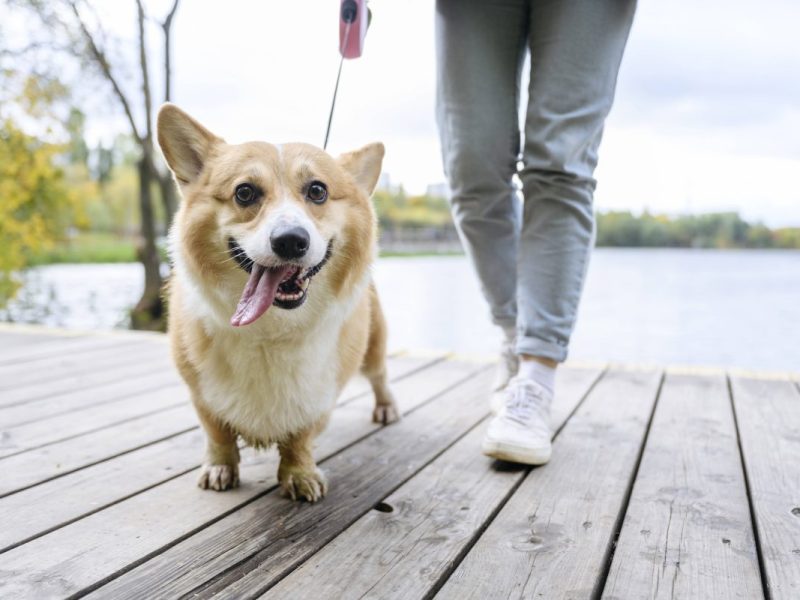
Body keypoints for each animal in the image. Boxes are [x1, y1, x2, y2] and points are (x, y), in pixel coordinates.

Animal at [155, 104, 398, 502]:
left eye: (317, 191)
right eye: (244, 193)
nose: (290, 241)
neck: (271, 329)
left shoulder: (317, 394)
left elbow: (300, 437)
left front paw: (299, 474)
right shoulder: (201, 392)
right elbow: (217, 433)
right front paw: (220, 467)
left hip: (374, 343)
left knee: (379, 376)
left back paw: (386, 408)